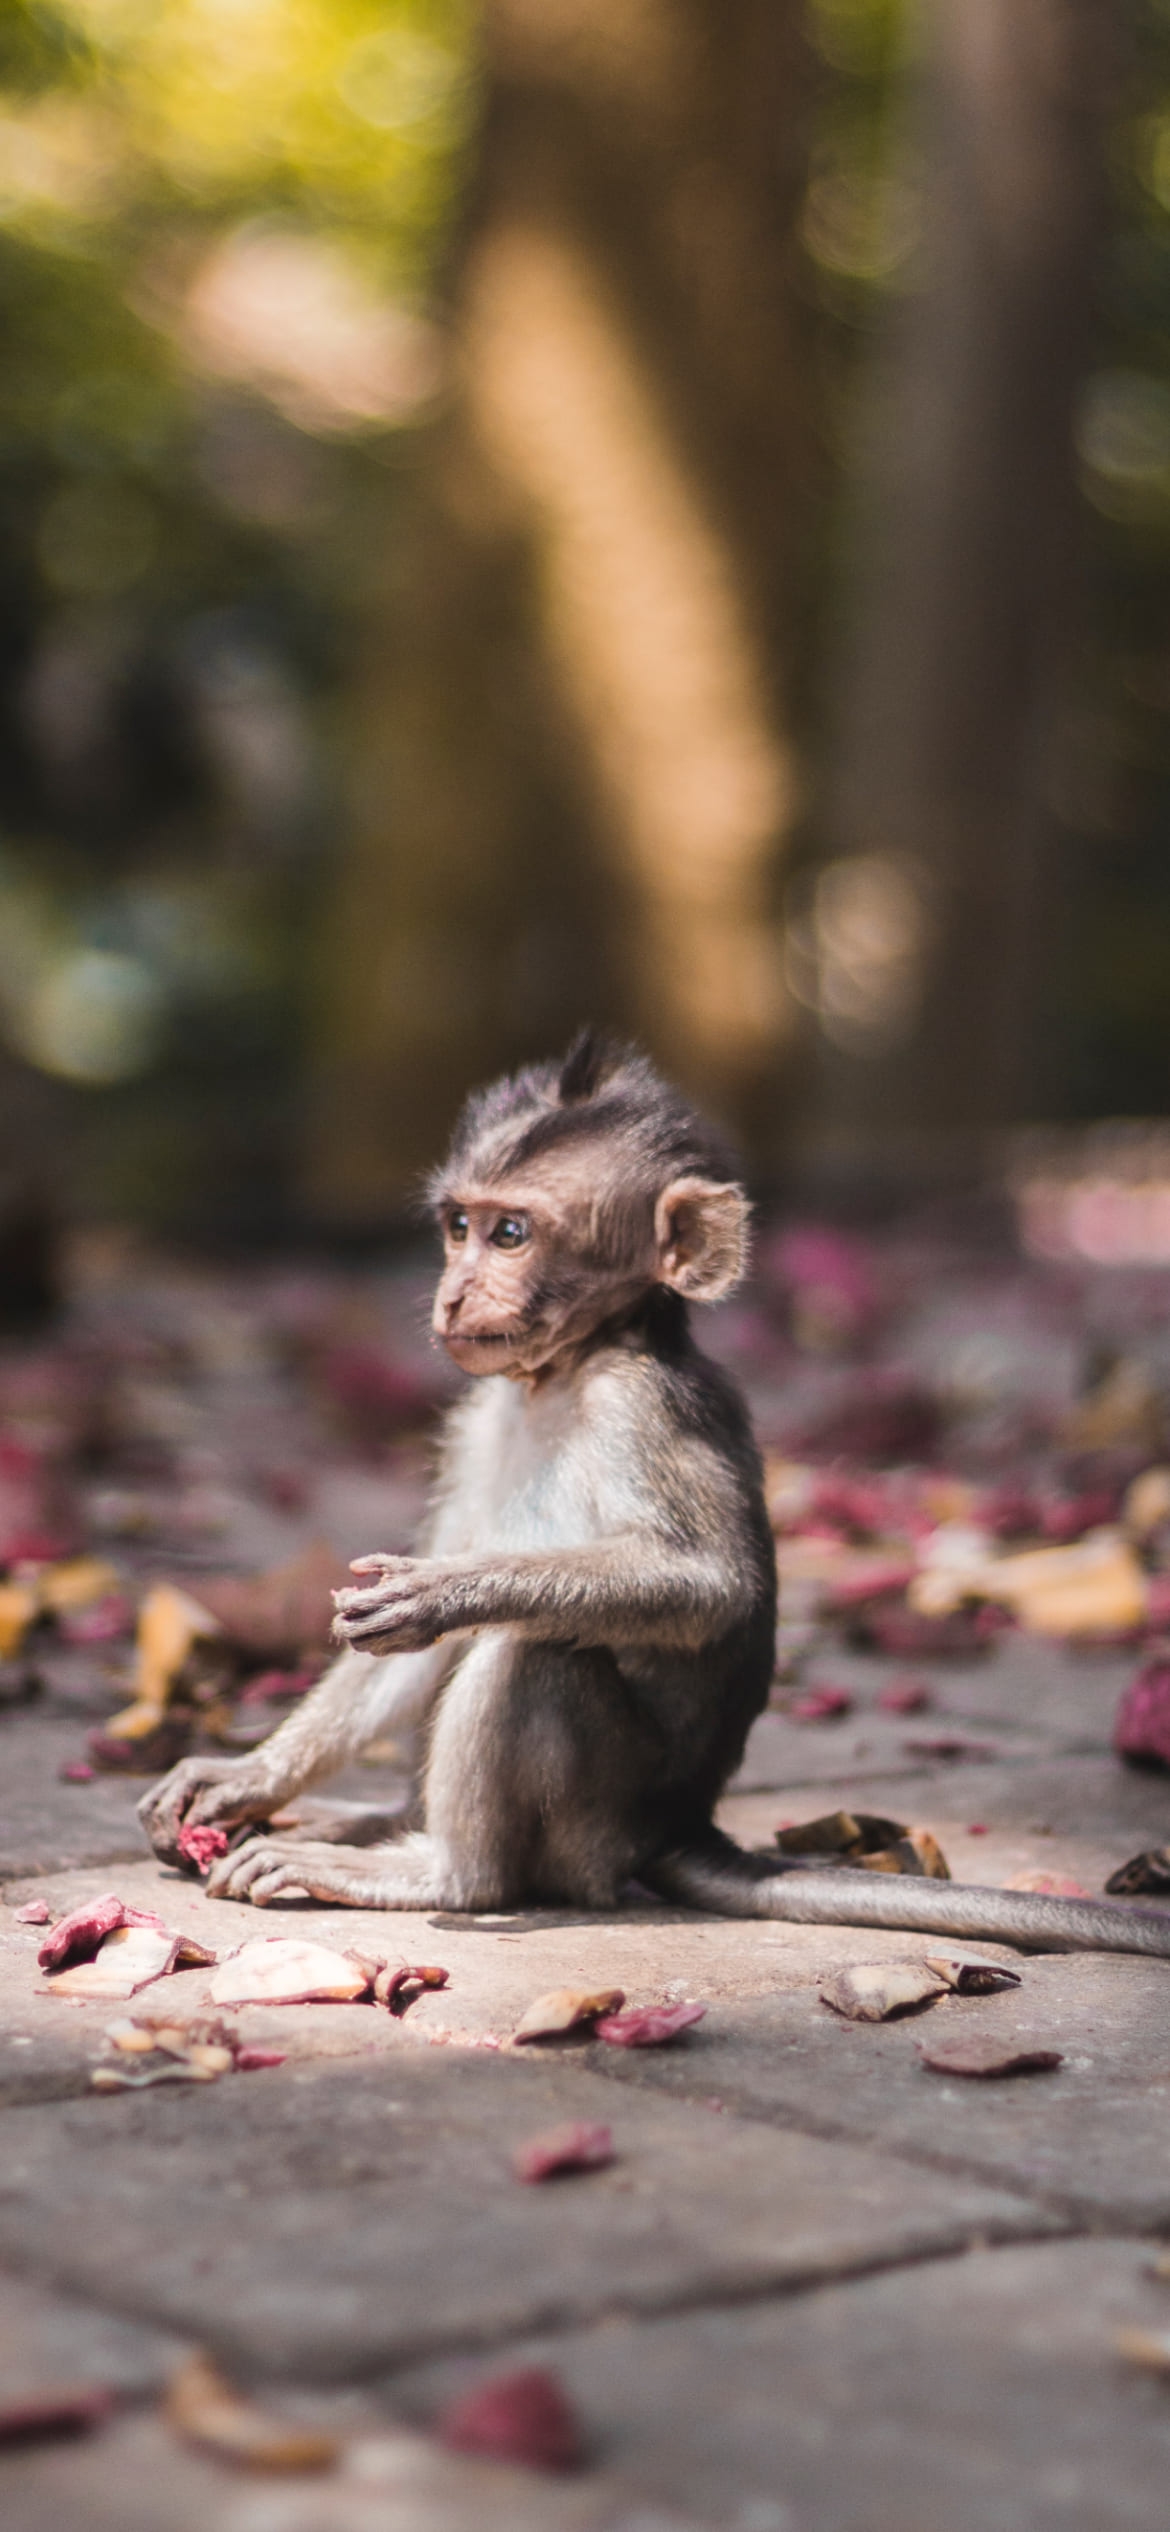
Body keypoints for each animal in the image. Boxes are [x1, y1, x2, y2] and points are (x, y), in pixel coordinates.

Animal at [139, 1033, 1170, 1961]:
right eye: (458, 1226)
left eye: (511, 1234)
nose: (453, 1294)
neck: (566, 1371)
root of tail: (680, 1823)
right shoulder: (476, 1417)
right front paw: (247, 1773)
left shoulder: (645, 1407)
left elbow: (709, 1587)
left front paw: (448, 1592)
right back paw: (355, 1821)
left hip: (594, 1828)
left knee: (534, 1654)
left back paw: (440, 1872)